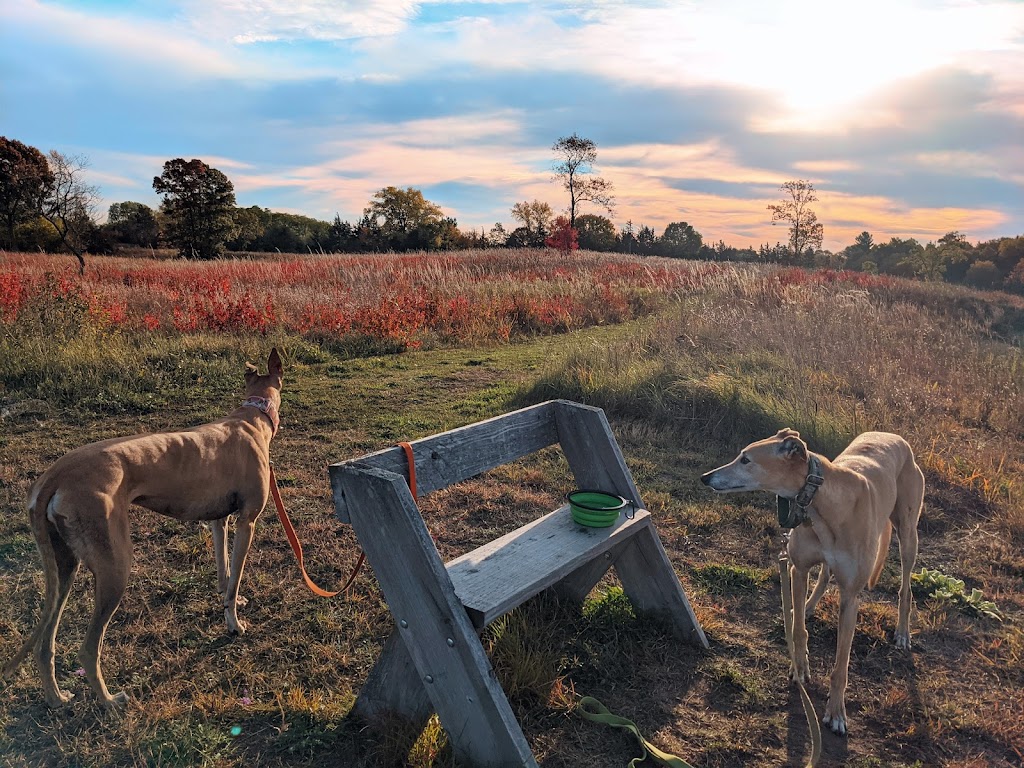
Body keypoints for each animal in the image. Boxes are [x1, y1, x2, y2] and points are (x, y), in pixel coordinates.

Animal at [3, 348, 284, 708]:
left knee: (44, 643)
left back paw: (57, 698)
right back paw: (110, 701)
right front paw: (234, 624)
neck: (252, 416)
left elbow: (224, 572)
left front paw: (227, 601)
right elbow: (234, 581)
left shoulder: (218, 520)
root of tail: (54, 475)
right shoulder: (247, 521)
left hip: (63, 567)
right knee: (87, 649)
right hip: (115, 567)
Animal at [700, 430, 925, 737]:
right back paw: (805, 607)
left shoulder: (850, 597)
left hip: (908, 533)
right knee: (825, 574)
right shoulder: (798, 569)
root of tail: (893, 436)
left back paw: (902, 632)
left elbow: (841, 666)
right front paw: (800, 667)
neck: (823, 502)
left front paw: (836, 713)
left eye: (745, 459)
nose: (705, 477)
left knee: (905, 587)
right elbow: (798, 630)